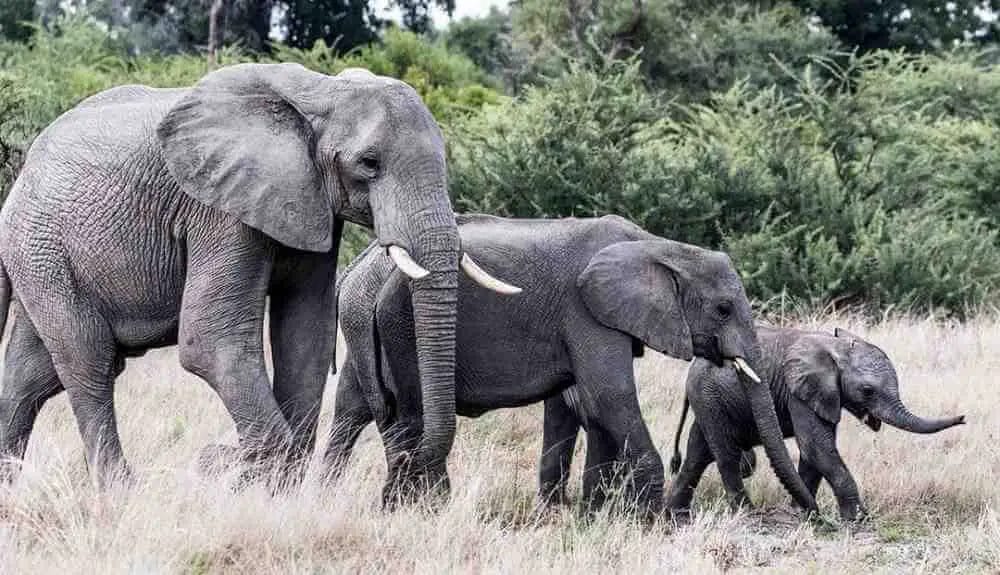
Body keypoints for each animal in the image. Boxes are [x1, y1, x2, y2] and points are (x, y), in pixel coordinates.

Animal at [0, 63, 515, 490]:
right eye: (369, 163)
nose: (412, 465)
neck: (323, 93)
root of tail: (17, 186)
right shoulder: (218, 210)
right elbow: (211, 340)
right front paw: (226, 465)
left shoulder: (311, 204)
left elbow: (306, 337)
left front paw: (260, 484)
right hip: (44, 247)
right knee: (88, 360)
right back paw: (120, 493)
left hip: (42, 256)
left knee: (32, 374)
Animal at [325, 214, 819, 514]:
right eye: (722, 309)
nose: (811, 514)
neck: (659, 248)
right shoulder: (585, 313)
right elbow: (609, 398)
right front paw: (648, 521)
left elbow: (576, 406)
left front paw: (581, 512)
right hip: (402, 325)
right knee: (408, 417)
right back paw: (415, 505)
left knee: (355, 409)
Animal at [665, 325, 965, 520]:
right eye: (868, 391)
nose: (963, 418)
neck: (836, 347)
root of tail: (693, 366)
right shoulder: (801, 390)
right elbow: (816, 447)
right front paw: (856, 519)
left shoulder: (823, 395)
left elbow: (813, 454)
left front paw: (800, 514)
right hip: (710, 396)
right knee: (724, 454)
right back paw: (746, 514)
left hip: (710, 399)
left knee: (698, 453)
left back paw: (676, 514)